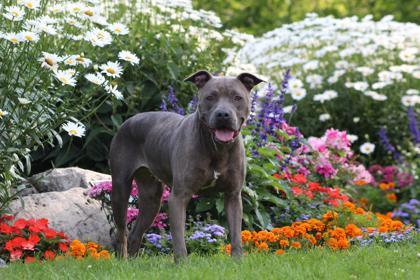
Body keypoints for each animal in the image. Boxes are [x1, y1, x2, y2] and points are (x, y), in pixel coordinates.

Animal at [110, 69, 264, 260]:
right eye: (210, 97)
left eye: (237, 97)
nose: (223, 114)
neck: (217, 148)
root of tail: (129, 120)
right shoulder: (179, 196)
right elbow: (179, 238)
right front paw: (182, 263)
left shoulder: (233, 196)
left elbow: (236, 235)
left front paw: (237, 261)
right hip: (120, 190)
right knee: (121, 232)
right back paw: (122, 260)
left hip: (151, 199)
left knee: (135, 233)